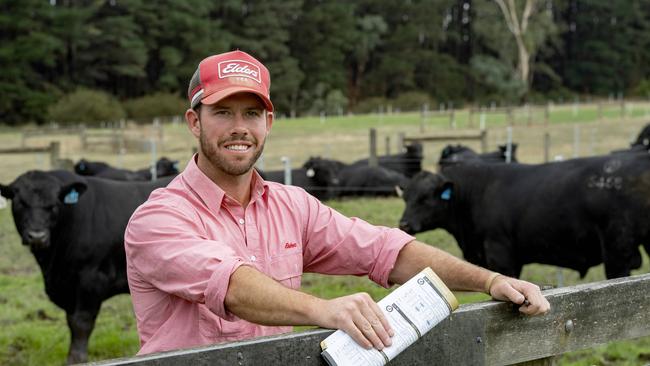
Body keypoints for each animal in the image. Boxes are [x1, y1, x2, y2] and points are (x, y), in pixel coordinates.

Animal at [0, 170, 173, 364]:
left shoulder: (91, 279)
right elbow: (71, 321)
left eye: (54, 205)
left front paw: (77, 359)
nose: (37, 236)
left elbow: (81, 322)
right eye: (19, 203)